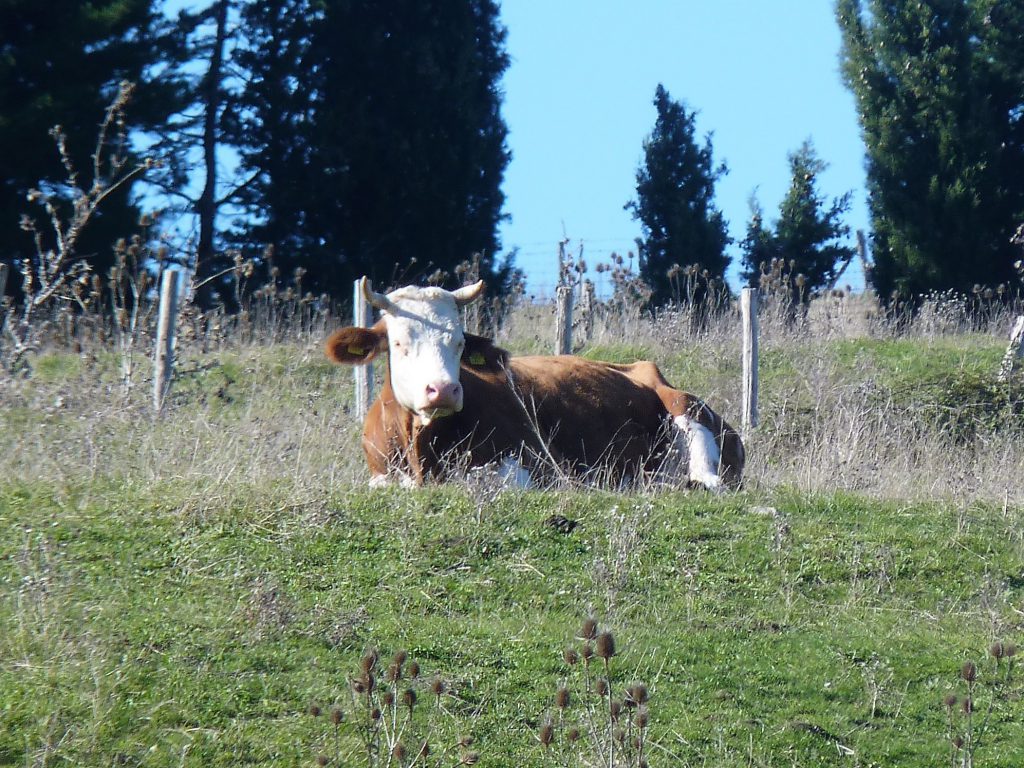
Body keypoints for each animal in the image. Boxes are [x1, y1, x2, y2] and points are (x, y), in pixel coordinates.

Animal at [325, 280, 745, 489]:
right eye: (398, 342)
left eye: (458, 341)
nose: (443, 390)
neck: (420, 448)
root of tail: (645, 369)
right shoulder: (379, 474)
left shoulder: (536, 464)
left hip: (688, 415)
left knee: (705, 481)